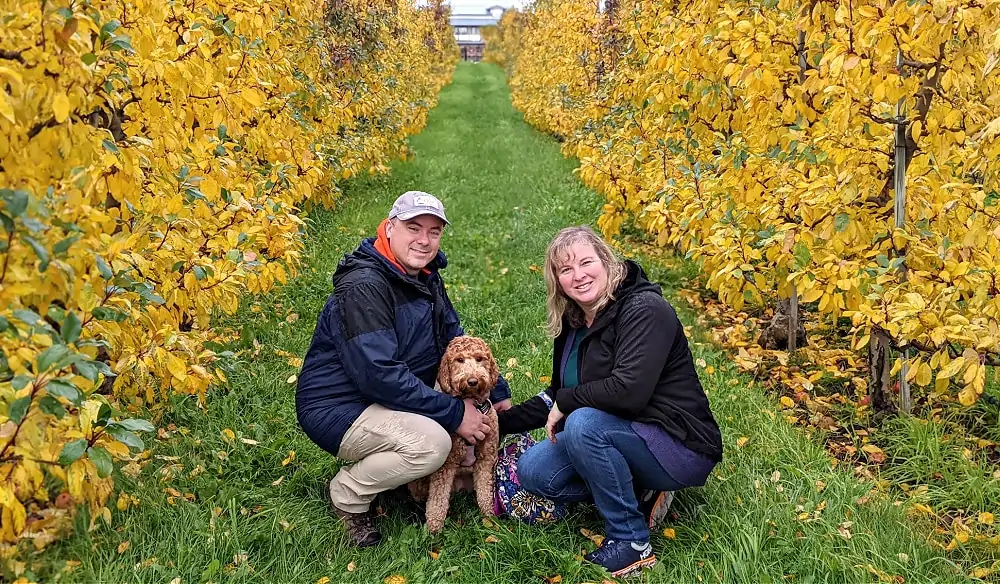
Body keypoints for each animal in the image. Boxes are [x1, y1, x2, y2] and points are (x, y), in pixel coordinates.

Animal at [406, 336, 500, 532]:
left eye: (480, 359)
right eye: (459, 360)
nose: (472, 380)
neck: (473, 404)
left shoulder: (486, 458)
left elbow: (485, 490)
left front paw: (489, 517)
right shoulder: (446, 466)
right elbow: (437, 499)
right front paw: (434, 528)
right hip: (418, 483)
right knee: (423, 496)